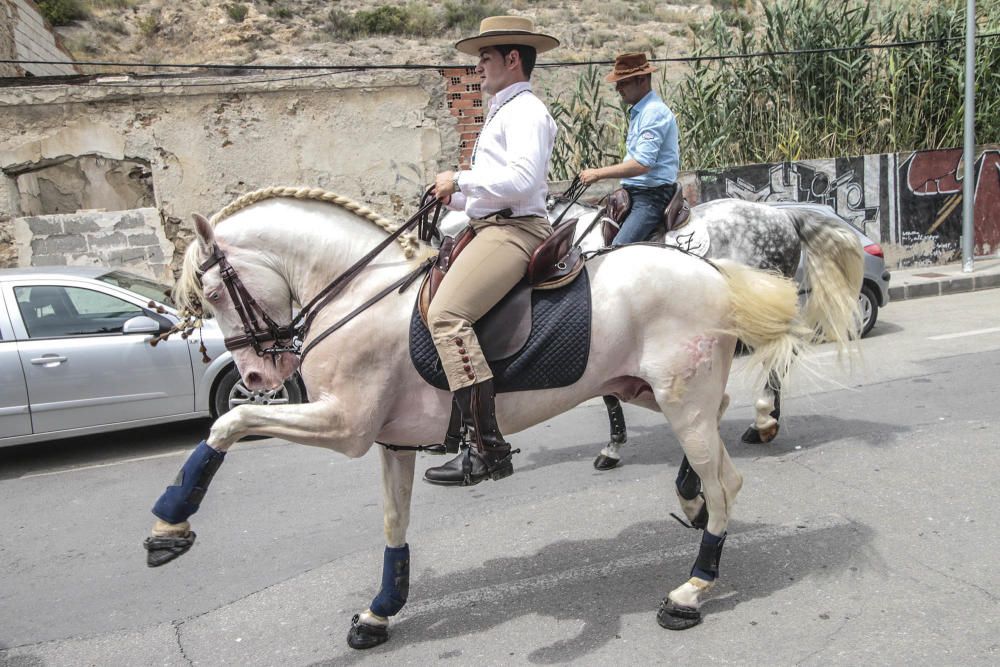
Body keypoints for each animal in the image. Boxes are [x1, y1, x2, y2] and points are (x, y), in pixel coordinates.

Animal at [145, 185, 848, 648]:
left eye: (214, 291)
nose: (259, 379)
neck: (362, 298)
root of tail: (712, 267)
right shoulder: (391, 443)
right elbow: (393, 525)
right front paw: (380, 610)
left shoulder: (344, 426)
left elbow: (227, 426)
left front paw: (169, 525)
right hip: (656, 390)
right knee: (718, 429)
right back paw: (692, 495)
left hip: (681, 398)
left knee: (728, 478)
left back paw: (692, 588)